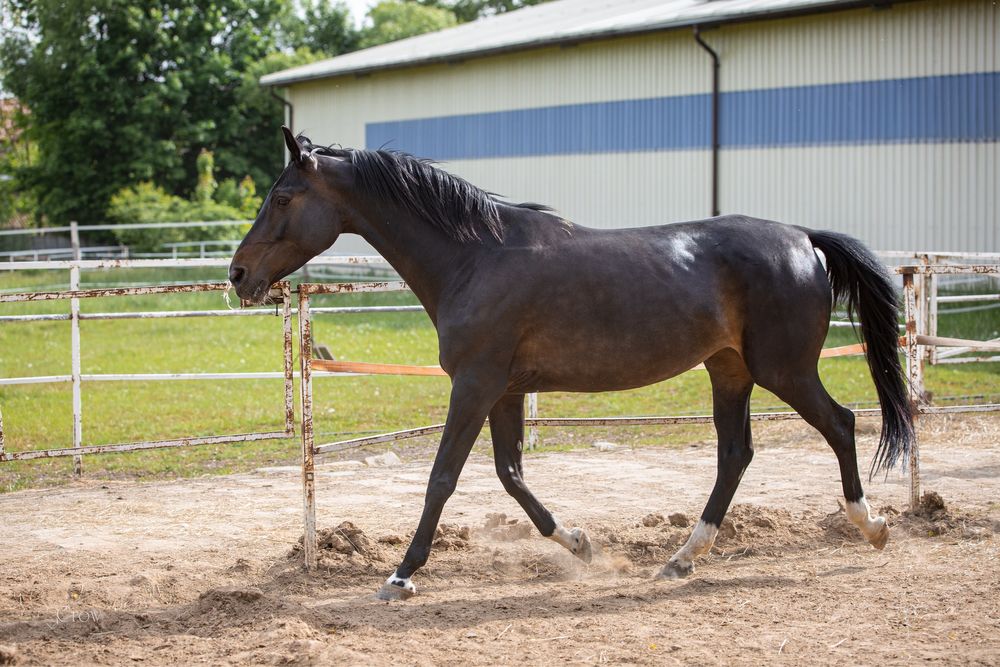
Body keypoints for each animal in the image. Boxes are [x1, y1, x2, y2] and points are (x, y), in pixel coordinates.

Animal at [229, 128, 916, 604]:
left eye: (283, 197)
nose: (238, 275)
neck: (475, 257)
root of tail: (803, 238)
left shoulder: (474, 384)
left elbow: (442, 479)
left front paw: (401, 576)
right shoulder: (503, 390)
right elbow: (510, 475)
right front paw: (583, 546)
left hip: (783, 370)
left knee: (841, 424)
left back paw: (873, 527)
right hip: (729, 371)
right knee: (735, 455)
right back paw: (680, 559)